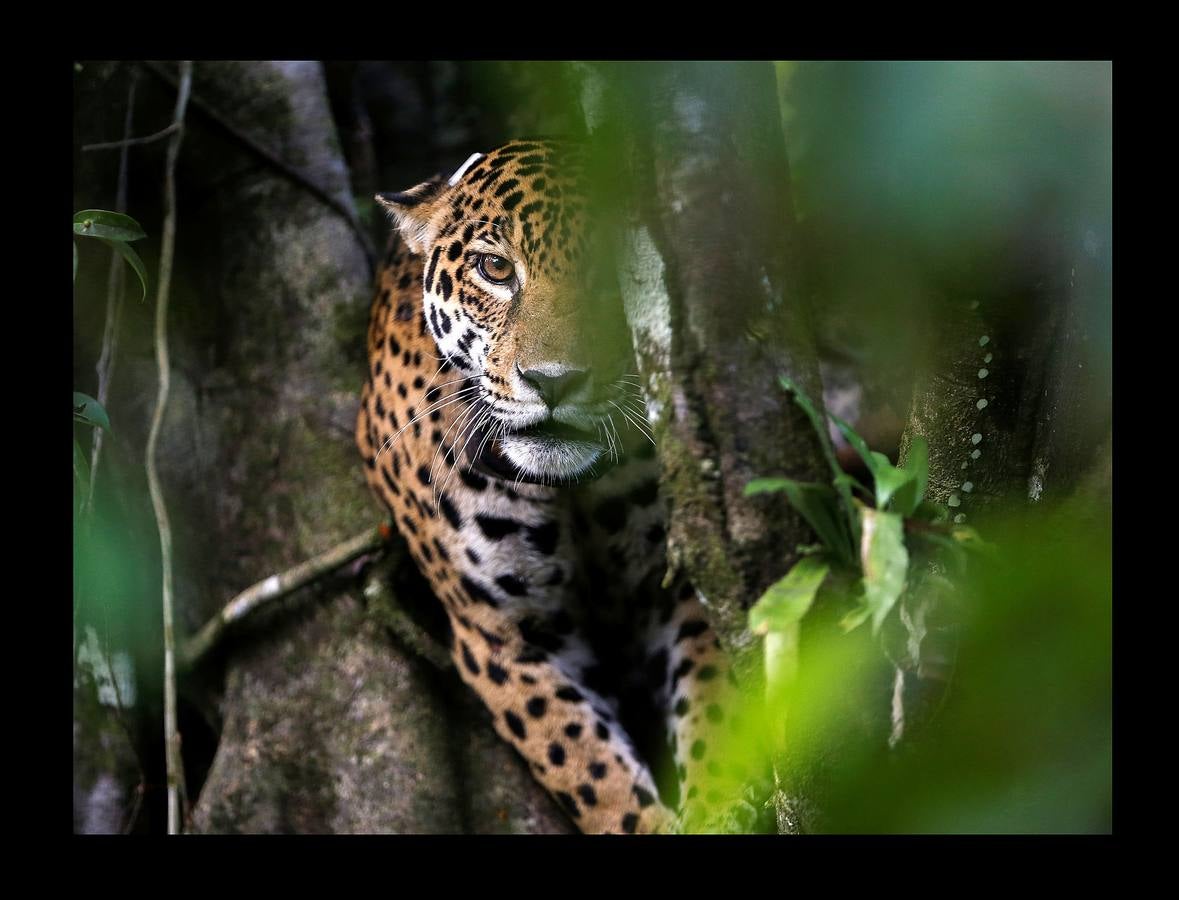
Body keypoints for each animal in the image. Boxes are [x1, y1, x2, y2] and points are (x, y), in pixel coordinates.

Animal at [356, 139, 756, 833]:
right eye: (494, 268)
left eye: (615, 276)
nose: (554, 379)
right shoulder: (506, 637)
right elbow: (591, 771)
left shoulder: (675, 586)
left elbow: (716, 718)